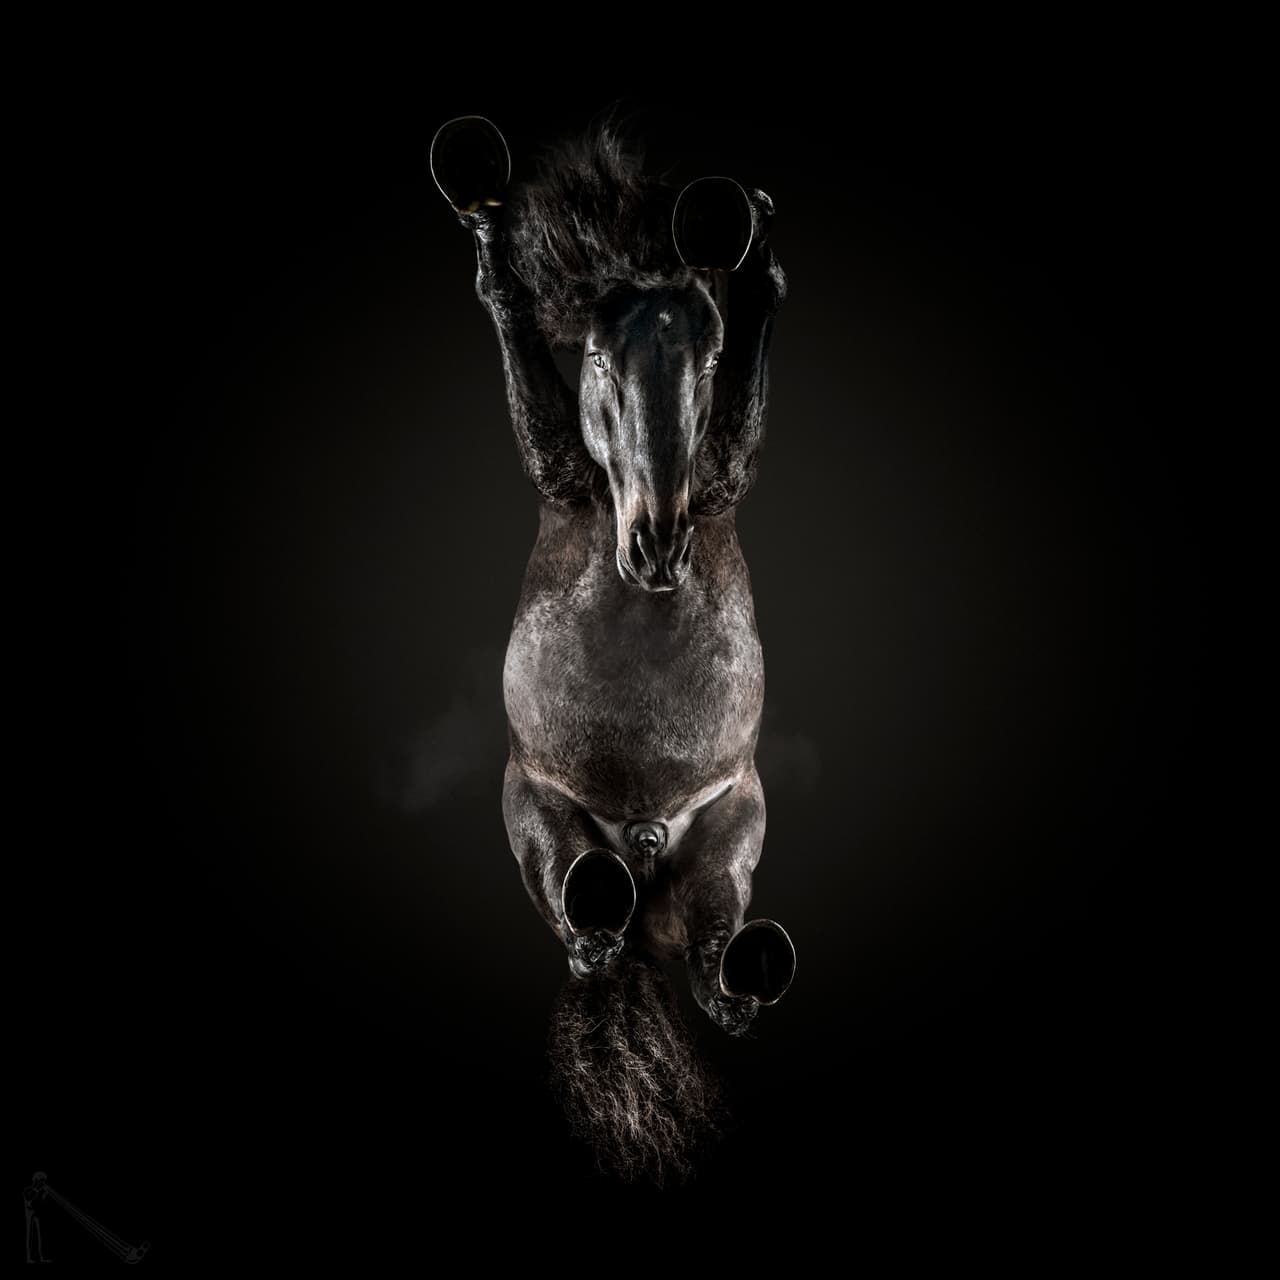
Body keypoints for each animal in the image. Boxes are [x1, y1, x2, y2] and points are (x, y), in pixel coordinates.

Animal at [430, 113, 796, 1180]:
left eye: (706, 367)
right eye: (596, 359)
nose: (658, 545)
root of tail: (637, 846)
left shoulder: (723, 476)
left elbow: (740, 429)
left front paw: (762, 263)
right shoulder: (558, 471)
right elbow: (517, 348)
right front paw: (488, 242)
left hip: (728, 838)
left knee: (715, 970)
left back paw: (747, 967)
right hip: (539, 821)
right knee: (588, 934)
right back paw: (602, 904)